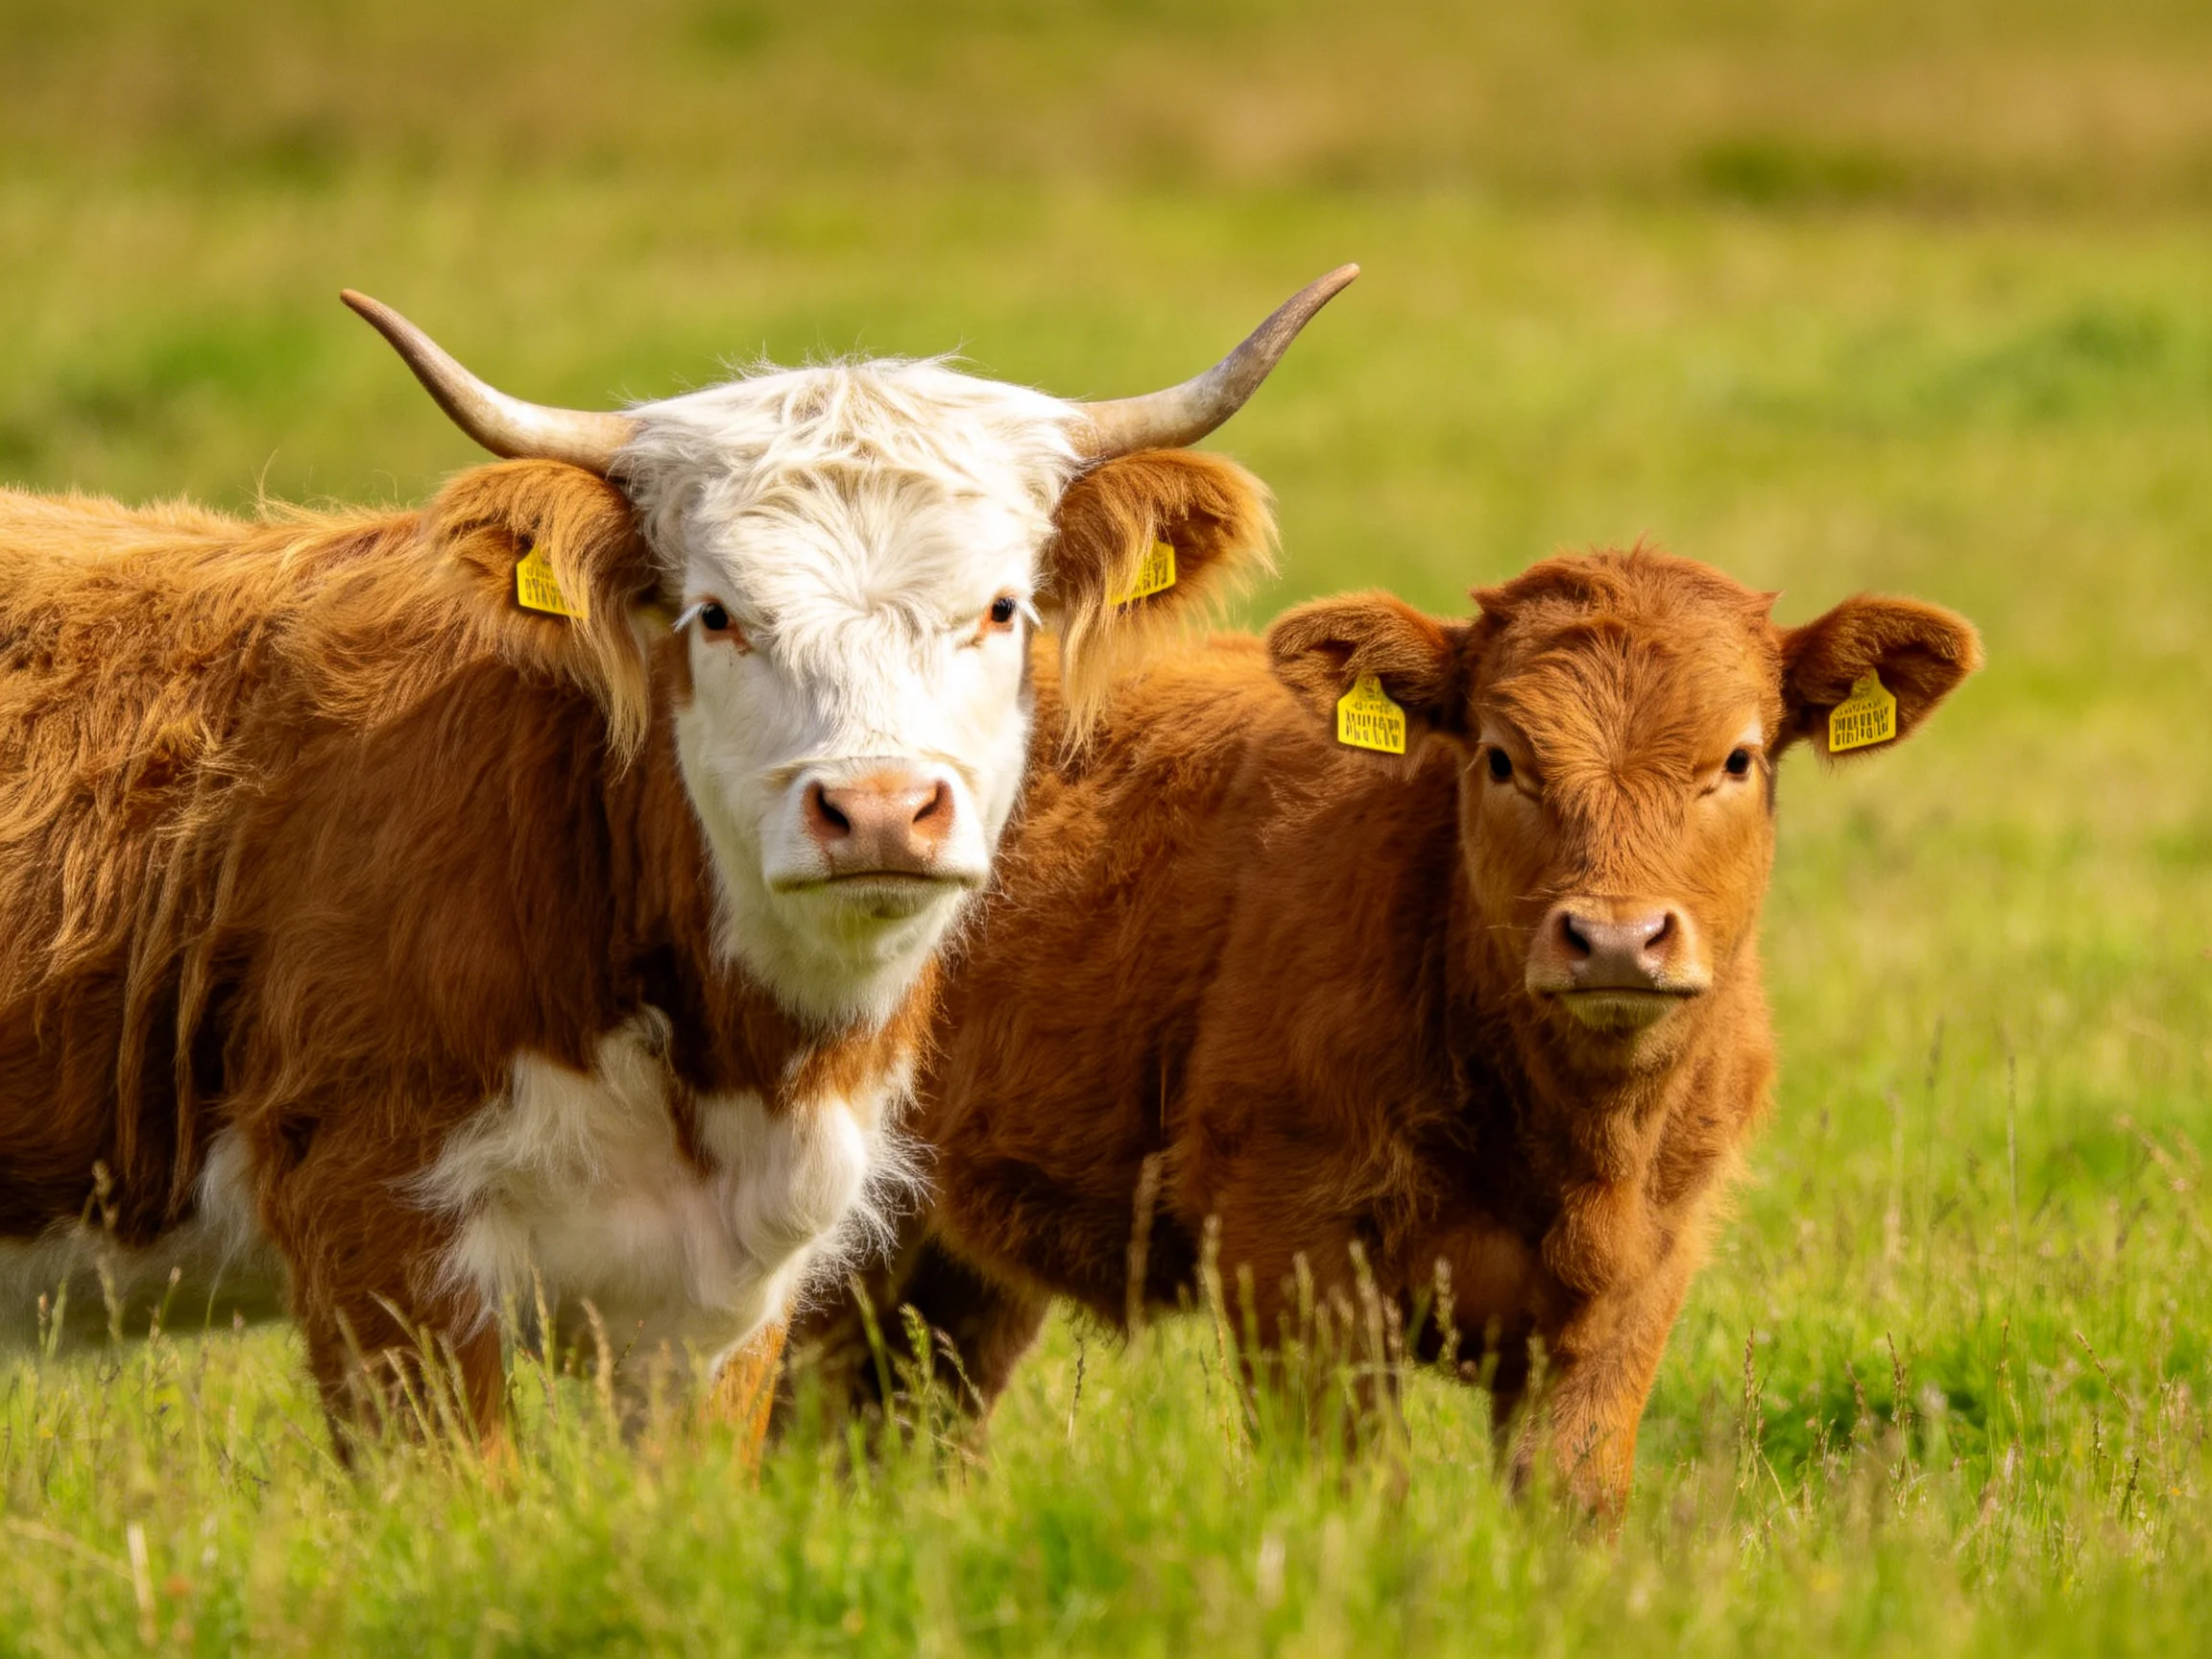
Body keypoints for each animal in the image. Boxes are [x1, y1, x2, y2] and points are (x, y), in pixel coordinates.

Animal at [791, 545, 1981, 1515]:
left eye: (1736, 759)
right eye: (1503, 758)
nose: (1613, 938)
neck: (1573, 1142)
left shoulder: (1643, 1275)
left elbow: (1570, 1496)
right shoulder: (1286, 1241)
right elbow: (1350, 1483)